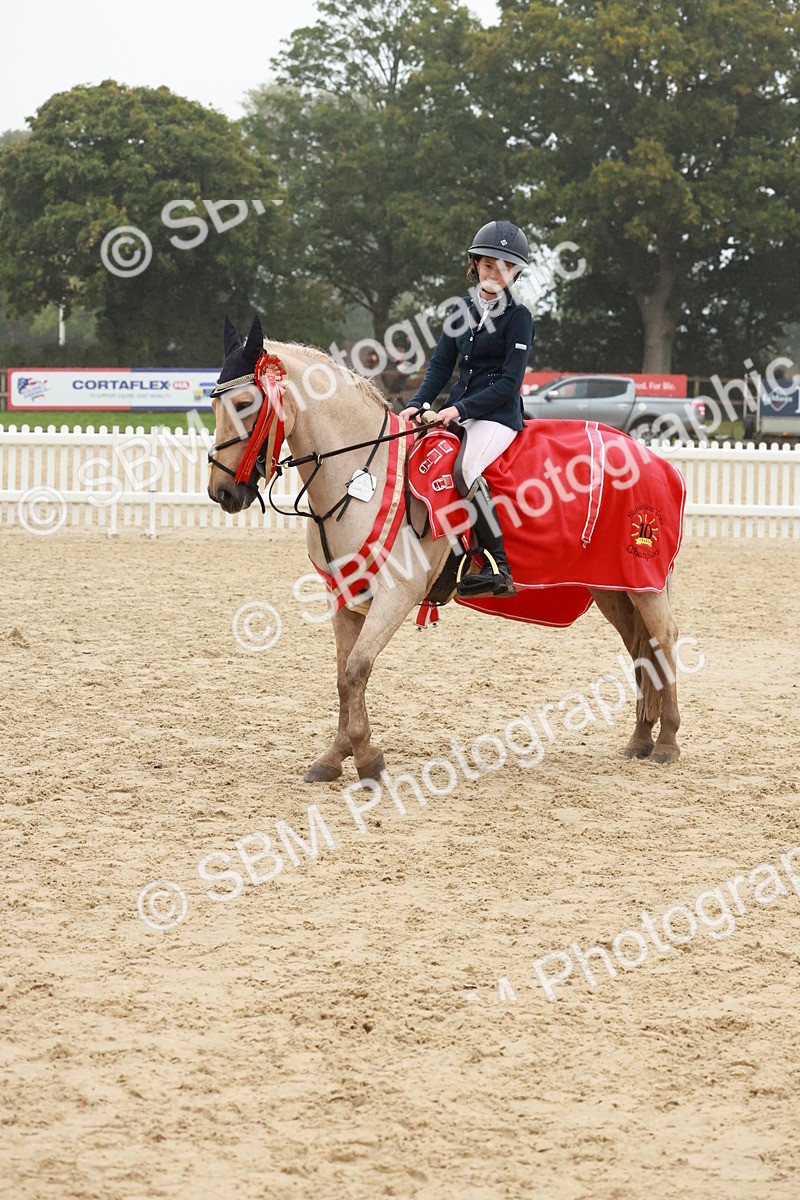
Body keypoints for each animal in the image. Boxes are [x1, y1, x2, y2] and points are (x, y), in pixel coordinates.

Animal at [207, 315, 683, 782]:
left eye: (246, 404)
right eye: (213, 405)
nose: (221, 493)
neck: (361, 475)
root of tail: (656, 460)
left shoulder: (396, 595)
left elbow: (358, 668)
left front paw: (366, 758)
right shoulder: (344, 596)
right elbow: (344, 675)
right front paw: (336, 755)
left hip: (643, 582)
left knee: (664, 639)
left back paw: (666, 743)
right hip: (611, 588)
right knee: (641, 648)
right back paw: (640, 739)